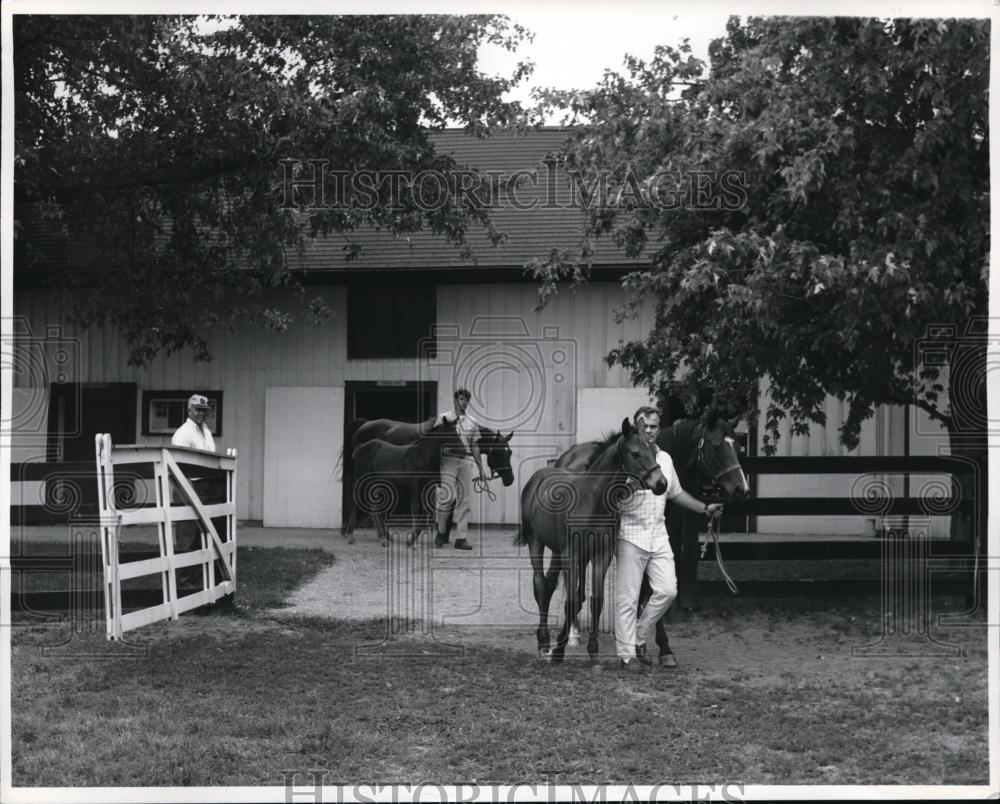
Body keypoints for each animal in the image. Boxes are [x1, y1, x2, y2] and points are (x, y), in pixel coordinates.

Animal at [516, 418, 664, 664]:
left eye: (653, 451)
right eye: (635, 453)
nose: (661, 483)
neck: (593, 501)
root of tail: (537, 476)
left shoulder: (601, 554)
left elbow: (595, 600)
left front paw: (593, 650)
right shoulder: (572, 554)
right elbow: (572, 600)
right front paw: (559, 650)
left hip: (557, 552)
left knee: (550, 584)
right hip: (536, 542)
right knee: (539, 584)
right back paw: (544, 641)